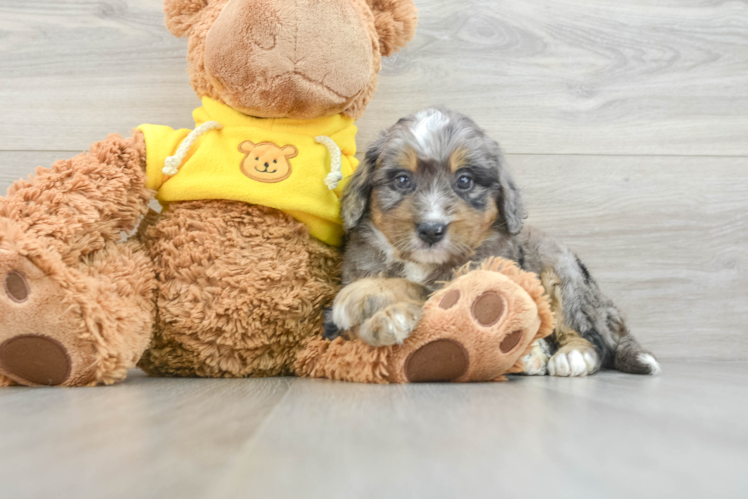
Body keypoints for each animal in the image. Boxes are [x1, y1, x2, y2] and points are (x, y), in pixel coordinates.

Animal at [324, 107, 656, 376]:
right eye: (403, 180)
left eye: (465, 181)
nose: (431, 230)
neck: (421, 263)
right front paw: (381, 318)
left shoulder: (481, 274)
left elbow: (422, 289)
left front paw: (372, 303)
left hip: (562, 273)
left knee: (590, 336)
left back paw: (572, 356)